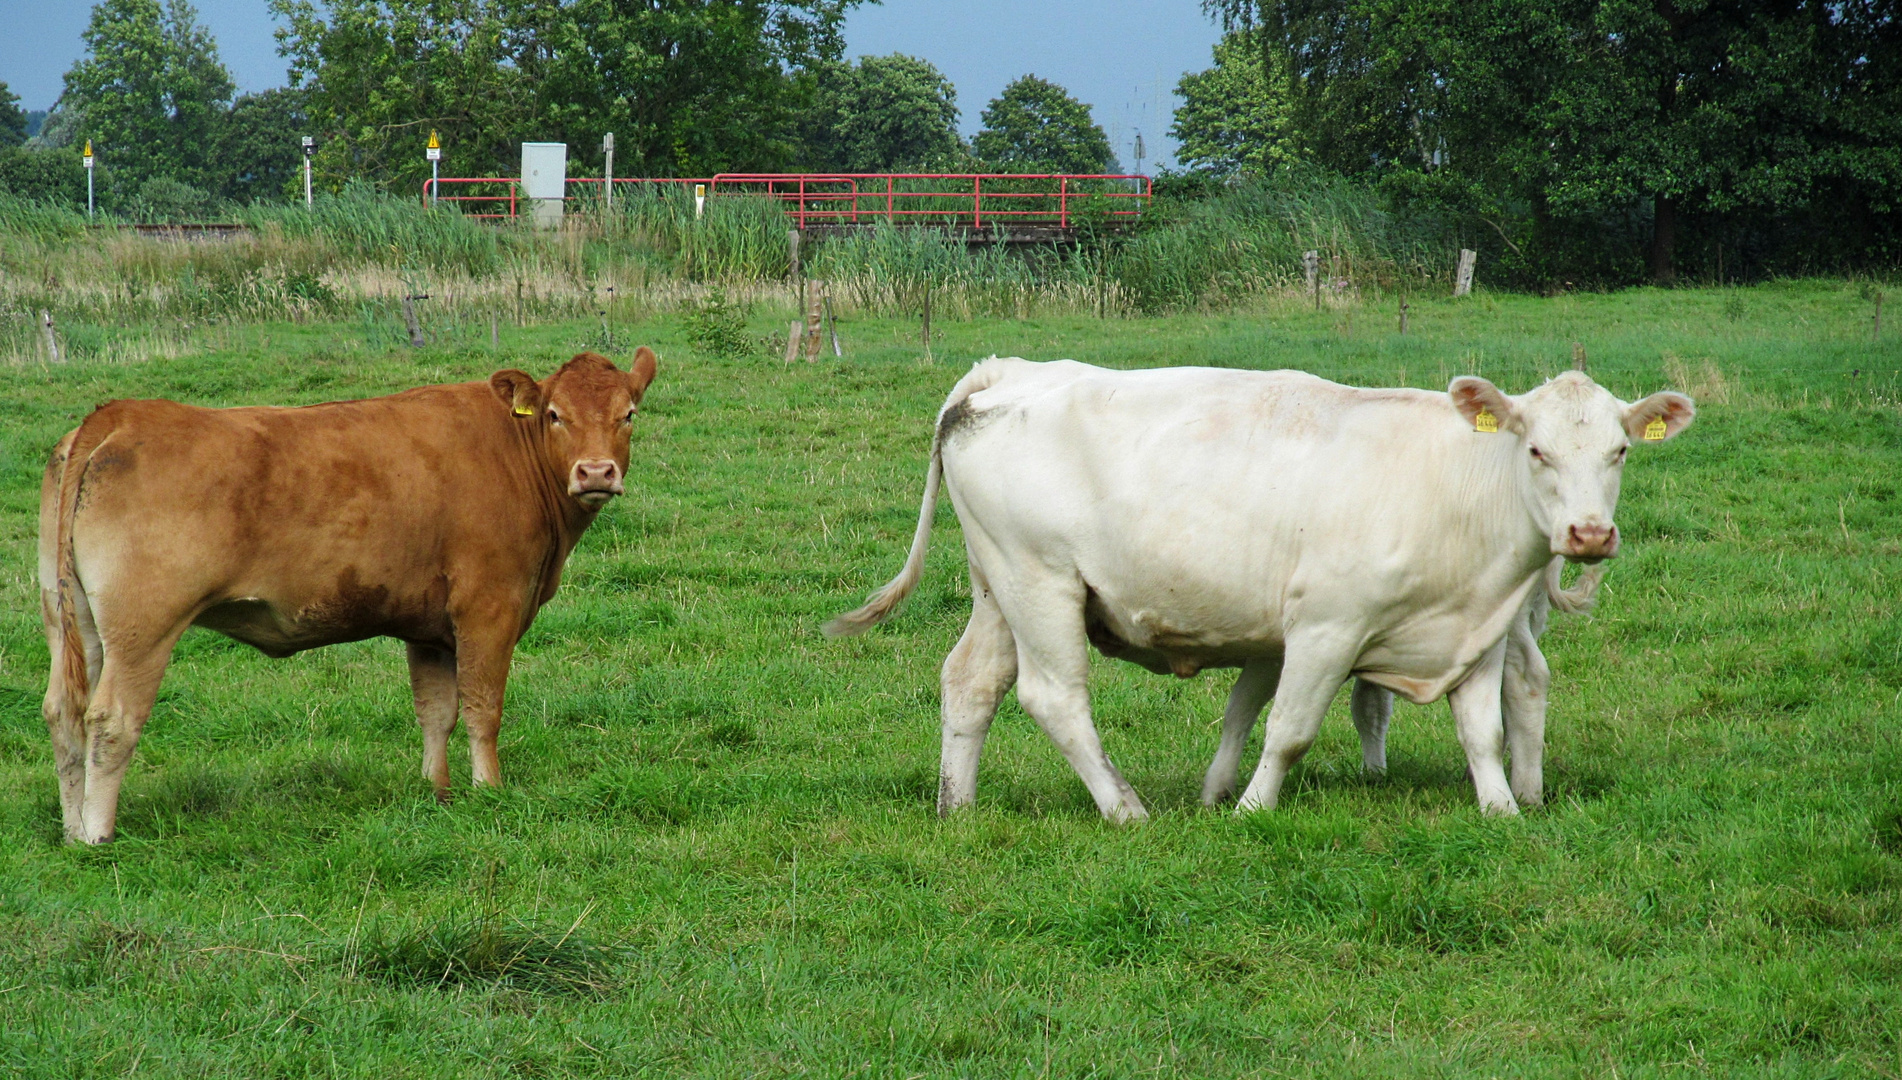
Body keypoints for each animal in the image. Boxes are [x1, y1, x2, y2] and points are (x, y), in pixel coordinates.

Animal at [37, 349, 658, 840]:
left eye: (628, 414)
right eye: (555, 415)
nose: (596, 472)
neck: (512, 450)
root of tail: (119, 414)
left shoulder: (427, 626)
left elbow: (436, 712)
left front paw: (438, 793)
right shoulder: (489, 608)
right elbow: (483, 708)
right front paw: (490, 792)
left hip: (69, 619)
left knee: (63, 712)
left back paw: (71, 829)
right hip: (143, 629)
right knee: (110, 719)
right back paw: (96, 835)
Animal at [825, 359, 1688, 821]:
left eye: (1618, 451)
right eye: (1536, 449)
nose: (1589, 535)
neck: (1452, 484)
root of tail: (1008, 373)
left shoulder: (1474, 631)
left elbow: (1482, 730)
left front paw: (1502, 808)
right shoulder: (1325, 628)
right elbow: (1289, 730)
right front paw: (1251, 808)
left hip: (997, 586)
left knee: (972, 682)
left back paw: (958, 805)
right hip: (1039, 581)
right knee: (1055, 697)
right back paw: (1124, 808)